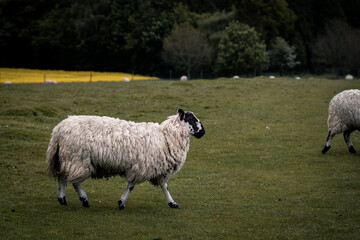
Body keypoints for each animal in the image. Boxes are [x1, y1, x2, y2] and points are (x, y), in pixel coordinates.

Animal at [45, 108, 205, 208]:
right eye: (191, 119)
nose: (203, 132)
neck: (166, 136)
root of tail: (58, 130)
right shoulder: (142, 167)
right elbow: (131, 186)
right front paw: (121, 202)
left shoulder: (158, 169)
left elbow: (164, 186)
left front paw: (172, 203)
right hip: (77, 159)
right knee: (74, 182)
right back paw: (83, 199)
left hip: (66, 158)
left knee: (62, 177)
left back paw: (62, 199)